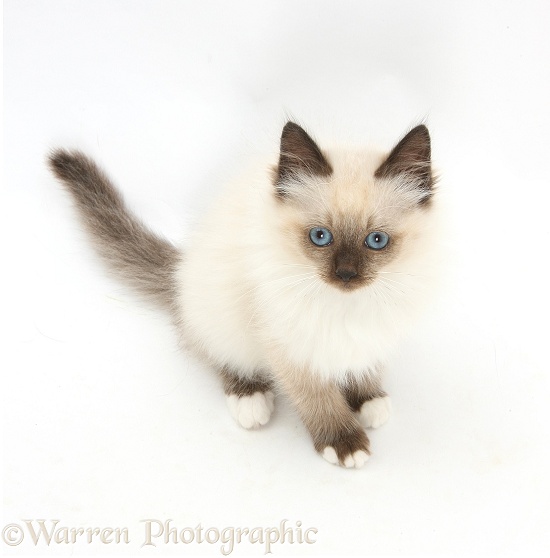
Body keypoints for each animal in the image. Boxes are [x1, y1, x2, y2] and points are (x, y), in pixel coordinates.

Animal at [50, 122, 440, 468]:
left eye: (377, 241)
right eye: (320, 237)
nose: (346, 275)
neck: (345, 305)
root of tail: (181, 266)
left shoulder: (372, 333)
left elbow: (363, 367)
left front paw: (367, 401)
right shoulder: (285, 344)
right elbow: (317, 397)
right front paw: (344, 442)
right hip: (220, 310)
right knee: (212, 348)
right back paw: (250, 399)